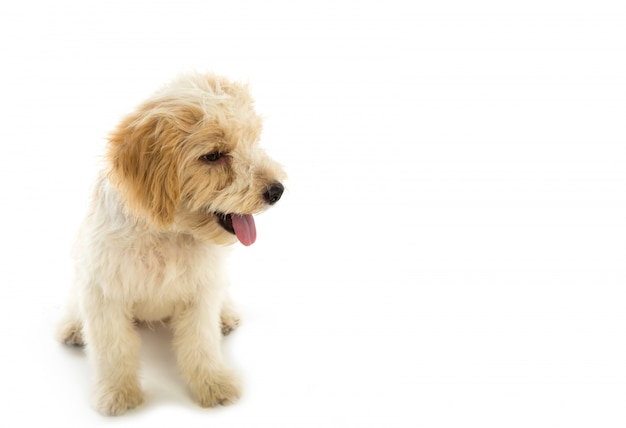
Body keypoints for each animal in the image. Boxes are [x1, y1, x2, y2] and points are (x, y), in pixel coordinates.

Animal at [56, 72, 286, 416]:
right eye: (213, 155)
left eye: (253, 140)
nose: (277, 190)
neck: (167, 233)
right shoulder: (103, 292)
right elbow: (113, 350)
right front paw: (118, 394)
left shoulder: (201, 292)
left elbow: (202, 344)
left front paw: (214, 384)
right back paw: (72, 326)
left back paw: (226, 315)